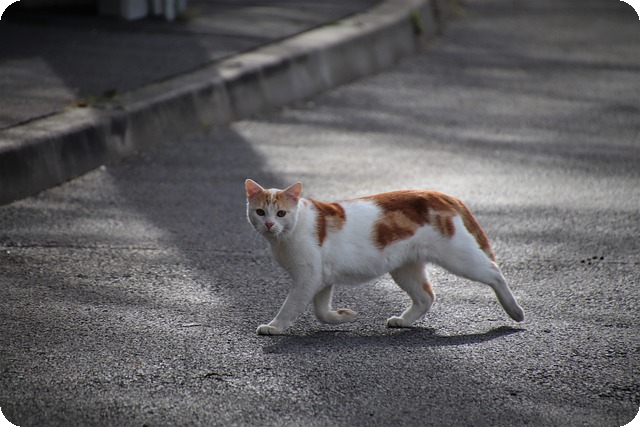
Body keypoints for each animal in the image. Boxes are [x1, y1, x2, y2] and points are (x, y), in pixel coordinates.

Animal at [245, 179, 525, 335]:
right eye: (260, 212)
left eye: (281, 214)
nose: (269, 224)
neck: (287, 234)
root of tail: (439, 194)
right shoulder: (321, 279)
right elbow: (322, 312)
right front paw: (344, 316)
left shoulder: (308, 277)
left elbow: (290, 306)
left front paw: (274, 326)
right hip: (405, 268)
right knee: (426, 297)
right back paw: (403, 320)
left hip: (459, 257)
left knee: (494, 272)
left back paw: (514, 311)